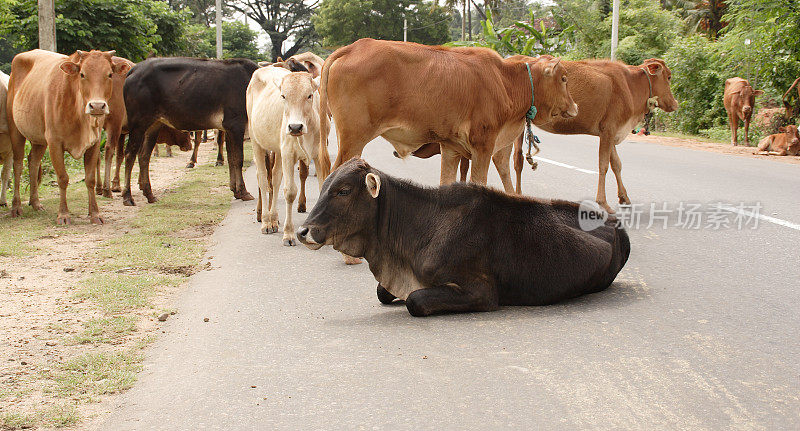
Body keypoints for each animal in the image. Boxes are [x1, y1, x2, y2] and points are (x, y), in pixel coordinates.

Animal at [5, 50, 130, 224]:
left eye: (110, 74)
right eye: (82, 74)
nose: (97, 106)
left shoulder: (94, 143)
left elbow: (90, 179)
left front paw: (95, 214)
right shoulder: (54, 143)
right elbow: (63, 178)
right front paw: (63, 215)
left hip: (39, 139)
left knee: (33, 162)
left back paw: (35, 202)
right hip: (15, 131)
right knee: (17, 165)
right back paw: (16, 206)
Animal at [121, 57, 256, 206]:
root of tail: (134, 69)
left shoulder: (228, 129)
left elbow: (231, 159)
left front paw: (235, 190)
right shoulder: (235, 125)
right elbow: (238, 159)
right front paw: (243, 192)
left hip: (154, 124)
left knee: (144, 155)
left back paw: (149, 194)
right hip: (138, 124)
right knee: (130, 154)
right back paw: (128, 196)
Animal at [296, 159, 628, 318]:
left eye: (343, 191)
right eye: (324, 185)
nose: (302, 231)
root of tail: (614, 222)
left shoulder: (482, 292)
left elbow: (415, 300)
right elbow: (381, 291)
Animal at [316, 40, 580, 187]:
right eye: (564, 78)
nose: (575, 107)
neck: (505, 82)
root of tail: (353, 47)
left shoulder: (453, 148)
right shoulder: (483, 147)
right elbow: (478, 183)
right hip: (354, 138)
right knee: (335, 173)